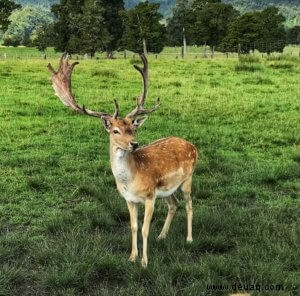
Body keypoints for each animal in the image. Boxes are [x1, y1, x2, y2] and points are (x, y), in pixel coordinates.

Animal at [47, 53, 197, 268]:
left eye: (133, 128)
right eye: (115, 130)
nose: (134, 144)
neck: (130, 181)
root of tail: (193, 146)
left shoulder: (150, 196)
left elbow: (144, 229)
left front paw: (144, 262)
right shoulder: (129, 199)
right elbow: (133, 227)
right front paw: (132, 257)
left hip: (187, 179)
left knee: (189, 205)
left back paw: (189, 239)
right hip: (168, 188)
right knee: (173, 204)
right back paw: (162, 236)